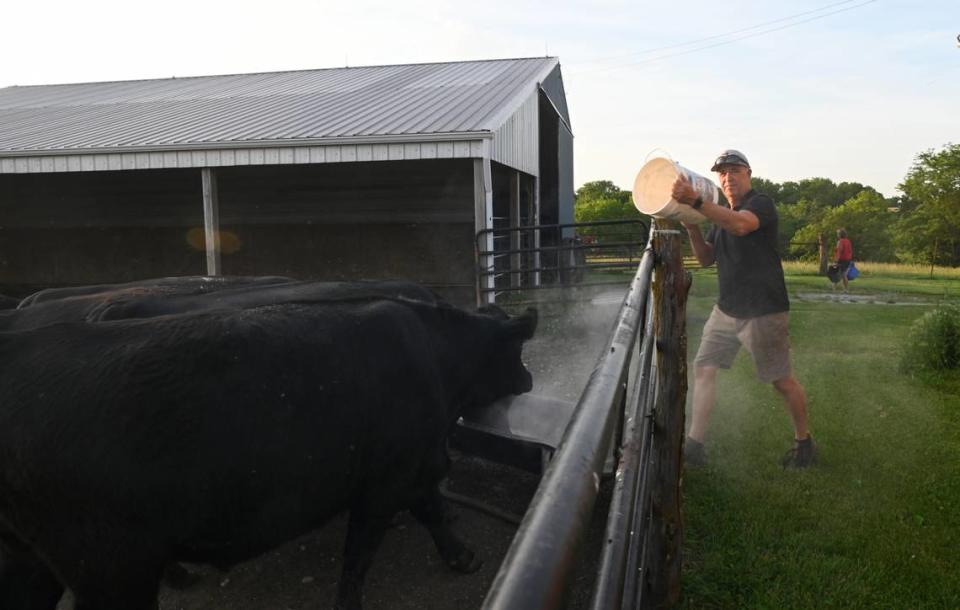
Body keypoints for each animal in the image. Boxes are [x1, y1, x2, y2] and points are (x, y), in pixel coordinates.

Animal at [0, 296, 540, 608]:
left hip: (29, 557)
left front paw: (463, 557)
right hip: (107, 566)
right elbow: (359, 555)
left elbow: (431, 510)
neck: (439, 363)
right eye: (515, 350)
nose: (530, 379)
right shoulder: (386, 479)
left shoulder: (411, 466)